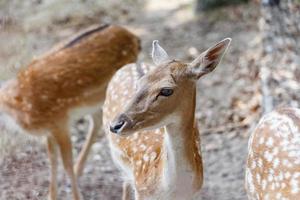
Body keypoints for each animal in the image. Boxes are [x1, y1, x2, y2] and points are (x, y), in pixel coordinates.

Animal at [0, 23, 140, 200]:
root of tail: (134, 37)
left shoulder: (60, 121)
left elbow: (66, 163)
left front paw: (76, 196)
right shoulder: (50, 128)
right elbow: (52, 159)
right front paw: (51, 195)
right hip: (95, 100)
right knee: (97, 121)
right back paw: (79, 169)